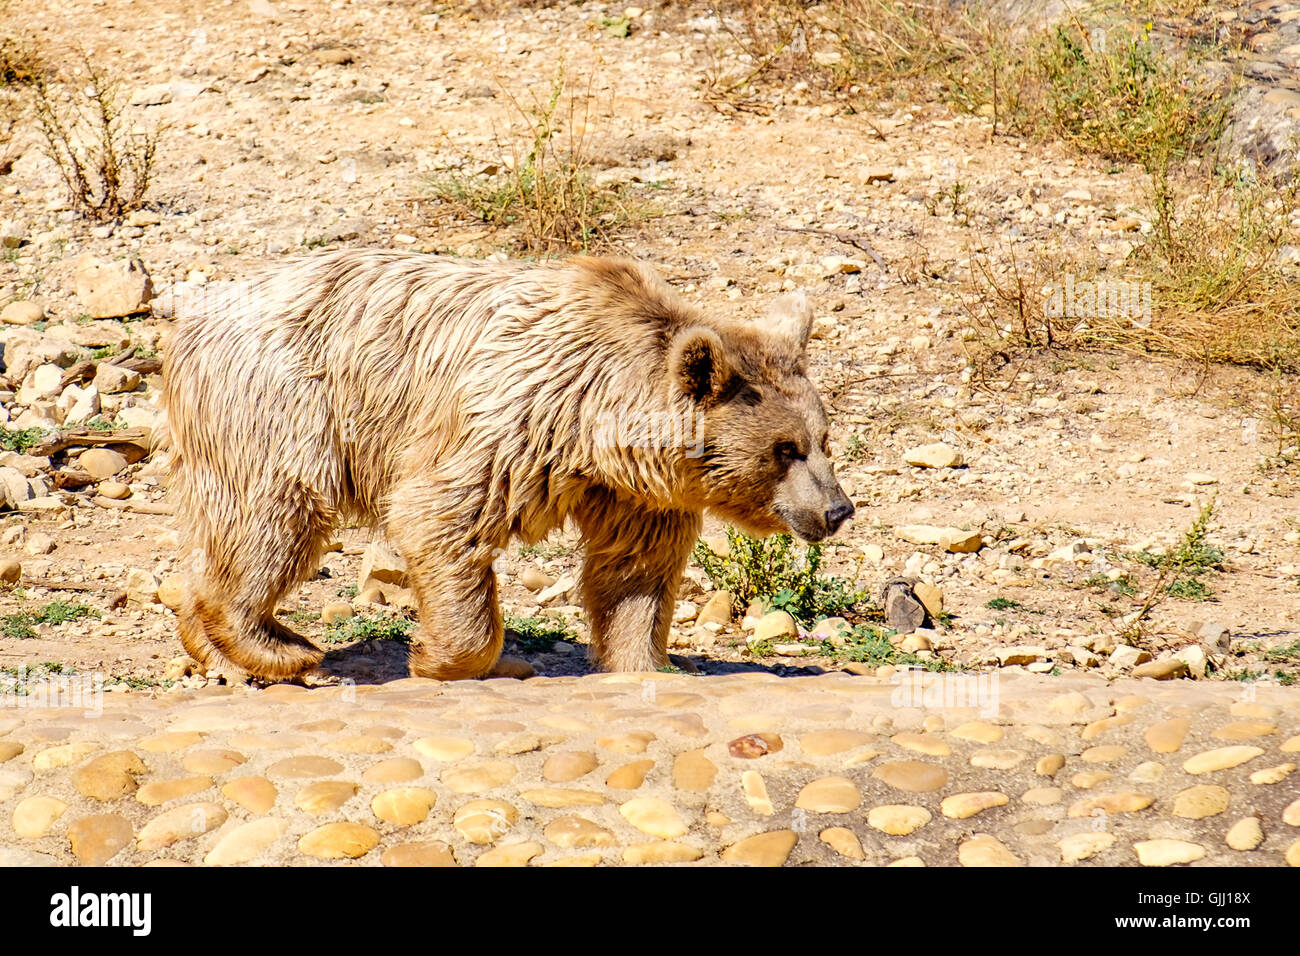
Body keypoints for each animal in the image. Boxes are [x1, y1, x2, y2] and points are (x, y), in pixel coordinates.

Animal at [162, 247, 852, 681]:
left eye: (824, 438)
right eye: (783, 449)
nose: (836, 509)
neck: (598, 423)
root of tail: (194, 321)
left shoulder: (636, 494)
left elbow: (635, 574)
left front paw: (646, 661)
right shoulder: (512, 419)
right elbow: (439, 514)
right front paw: (440, 657)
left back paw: (215, 648)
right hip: (287, 405)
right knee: (274, 517)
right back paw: (280, 648)